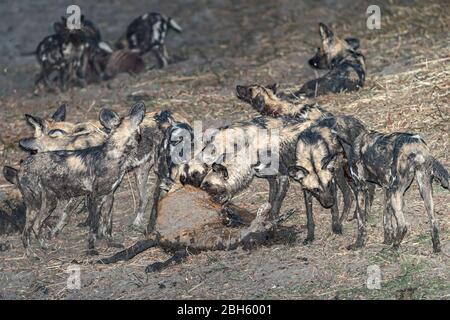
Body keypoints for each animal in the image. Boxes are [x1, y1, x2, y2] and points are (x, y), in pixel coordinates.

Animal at [5, 101, 146, 256]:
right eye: (131, 118)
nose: (140, 105)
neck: (114, 154)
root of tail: (23, 166)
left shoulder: (109, 197)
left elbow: (107, 226)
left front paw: (111, 243)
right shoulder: (95, 198)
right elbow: (94, 227)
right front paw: (91, 249)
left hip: (50, 203)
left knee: (36, 226)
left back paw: (45, 247)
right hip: (35, 204)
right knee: (25, 232)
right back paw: (32, 255)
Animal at [96, 185, 292, 272]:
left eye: (267, 237)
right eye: (264, 230)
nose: (250, 243)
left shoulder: (186, 249)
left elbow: (174, 258)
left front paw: (154, 266)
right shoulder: (156, 235)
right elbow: (128, 251)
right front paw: (104, 260)